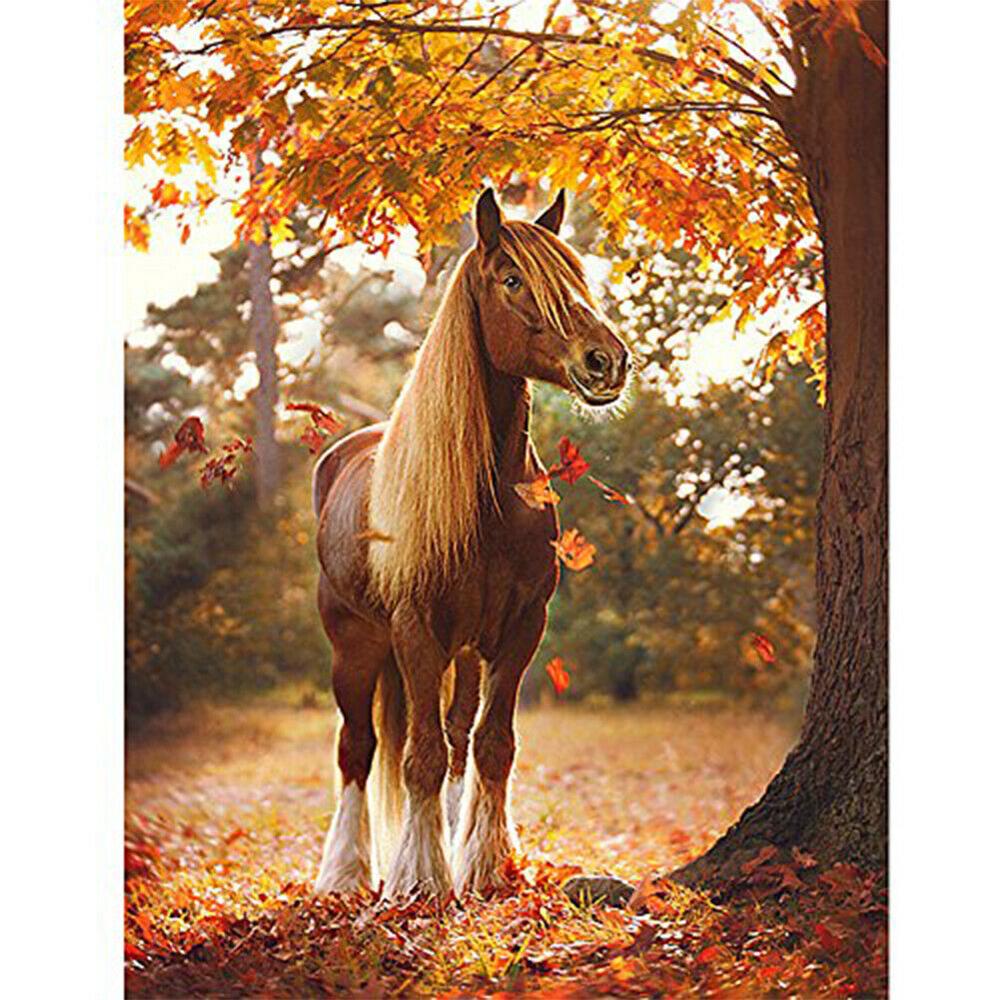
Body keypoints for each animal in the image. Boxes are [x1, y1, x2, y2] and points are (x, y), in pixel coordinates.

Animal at [311, 188, 630, 898]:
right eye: (512, 280)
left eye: (577, 275)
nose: (607, 360)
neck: (490, 502)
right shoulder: (415, 629)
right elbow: (420, 756)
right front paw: (420, 879)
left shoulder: (519, 629)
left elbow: (491, 745)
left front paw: (483, 865)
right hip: (356, 646)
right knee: (357, 749)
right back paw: (344, 873)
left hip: (461, 652)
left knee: (457, 739)